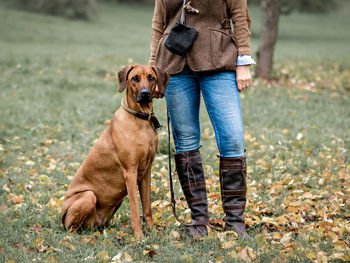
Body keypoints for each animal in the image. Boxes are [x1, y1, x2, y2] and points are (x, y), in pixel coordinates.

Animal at [62, 64, 170, 239]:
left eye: (151, 78)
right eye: (134, 78)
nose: (145, 93)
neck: (140, 120)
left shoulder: (146, 172)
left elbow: (147, 207)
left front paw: (152, 232)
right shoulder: (130, 172)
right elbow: (135, 210)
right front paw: (139, 237)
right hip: (88, 196)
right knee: (72, 229)